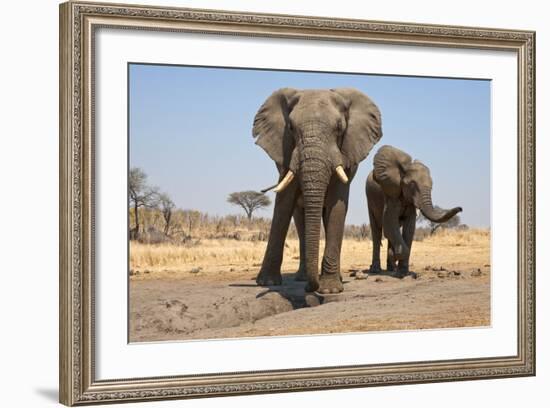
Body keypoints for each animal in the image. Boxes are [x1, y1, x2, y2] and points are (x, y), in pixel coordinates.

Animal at [254, 88, 384, 294]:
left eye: (339, 128)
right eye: (290, 128)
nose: (310, 288)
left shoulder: (345, 153)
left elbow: (337, 205)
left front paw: (330, 290)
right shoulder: (287, 152)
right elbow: (283, 204)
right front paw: (267, 283)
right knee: (300, 220)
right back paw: (302, 277)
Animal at [368, 144, 464, 278]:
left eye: (432, 186)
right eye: (412, 184)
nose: (461, 208)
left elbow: (409, 228)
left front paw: (403, 272)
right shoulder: (391, 196)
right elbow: (389, 223)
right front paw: (396, 257)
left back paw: (391, 268)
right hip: (369, 198)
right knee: (376, 231)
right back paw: (376, 270)